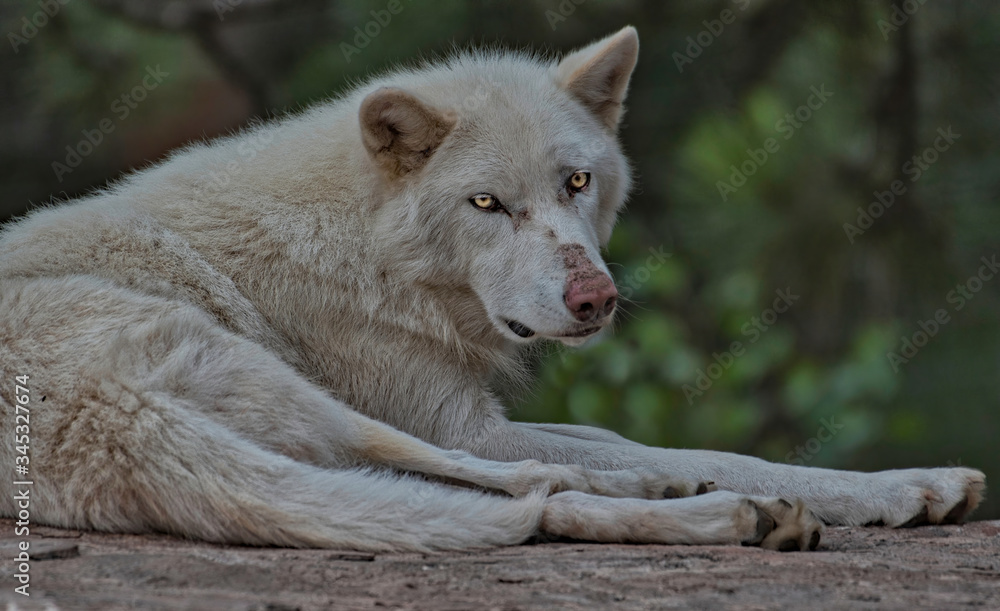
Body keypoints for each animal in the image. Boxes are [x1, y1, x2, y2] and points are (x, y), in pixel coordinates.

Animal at [0, 27, 985, 552]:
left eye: (577, 183)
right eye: (487, 203)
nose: (596, 301)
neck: (369, 251)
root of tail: (119, 426)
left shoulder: (473, 411)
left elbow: (634, 436)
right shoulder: (462, 419)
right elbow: (699, 448)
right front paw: (906, 485)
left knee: (520, 498)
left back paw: (725, 514)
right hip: (305, 396)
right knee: (529, 484)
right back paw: (702, 502)